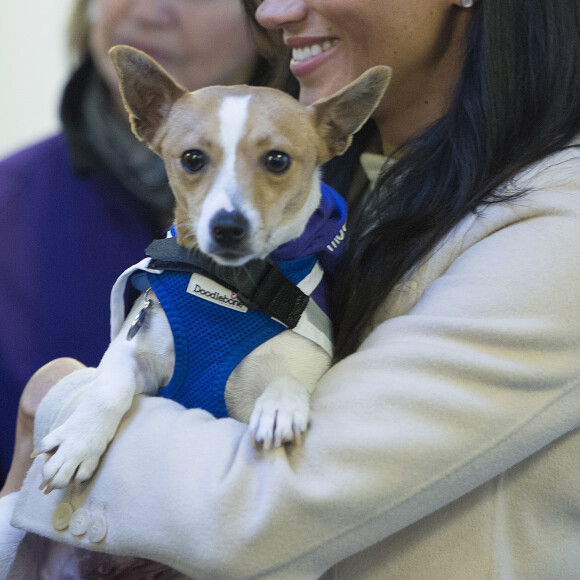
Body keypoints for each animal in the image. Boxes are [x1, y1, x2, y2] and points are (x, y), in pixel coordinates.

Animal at [35, 45, 390, 492]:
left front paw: (280, 405)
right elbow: (108, 387)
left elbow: (288, 379)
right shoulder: (134, 353)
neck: (226, 285)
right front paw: (80, 440)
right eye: (192, 159)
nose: (227, 227)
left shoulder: (300, 367)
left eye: (277, 160)